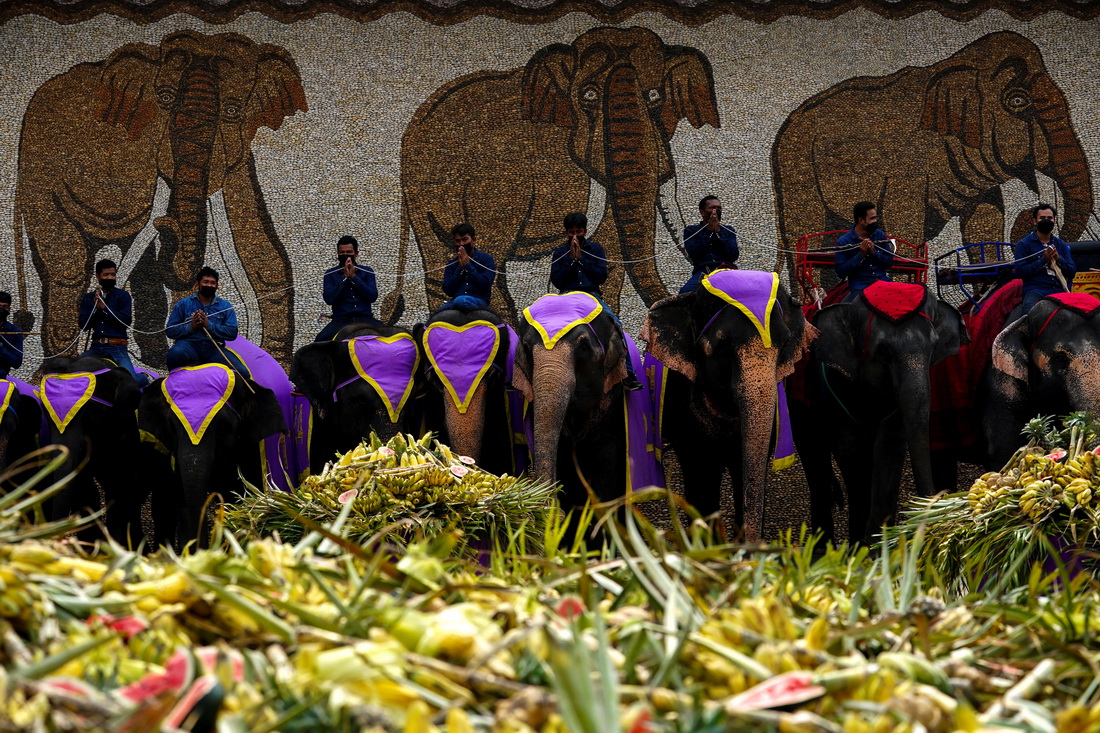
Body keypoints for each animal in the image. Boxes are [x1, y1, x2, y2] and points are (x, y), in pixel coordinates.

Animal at [13, 31, 305, 367]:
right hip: (35, 173)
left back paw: (152, 360)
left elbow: (259, 247)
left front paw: (278, 365)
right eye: (164, 99)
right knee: (67, 266)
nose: (164, 223)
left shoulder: (238, 153)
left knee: (141, 269)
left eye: (232, 111)